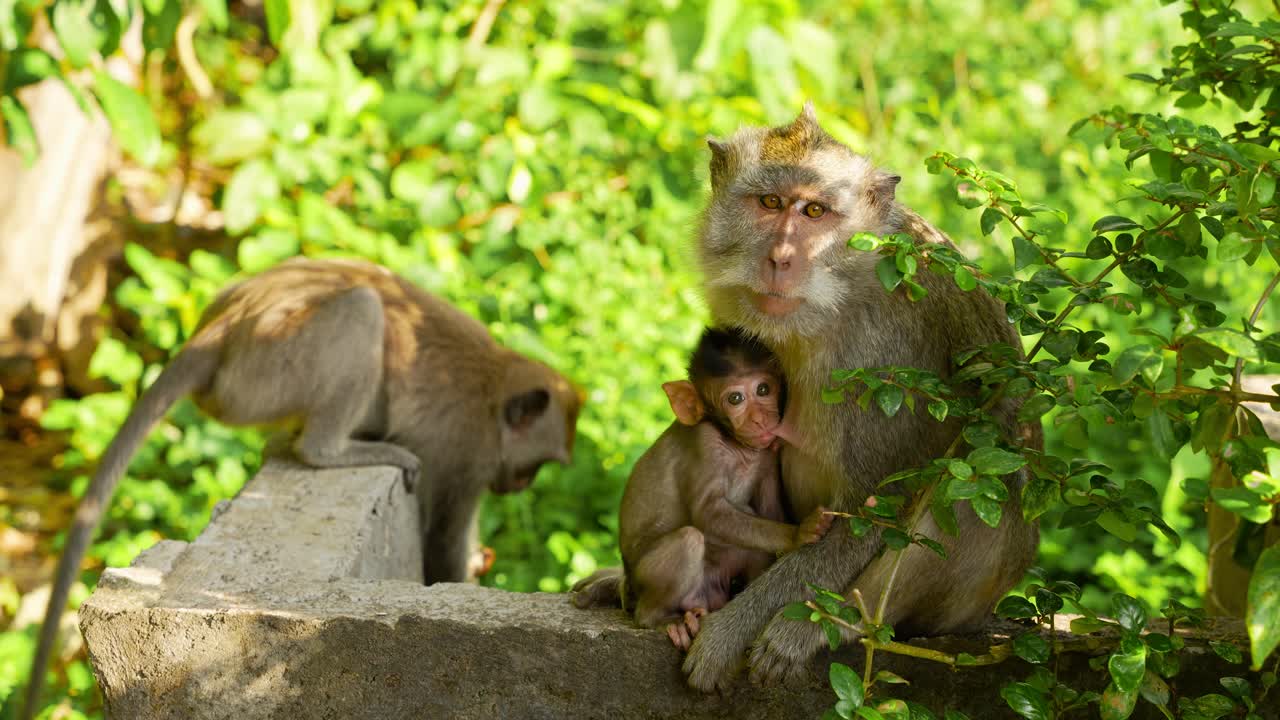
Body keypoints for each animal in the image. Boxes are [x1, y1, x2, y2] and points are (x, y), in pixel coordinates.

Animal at [22, 257, 581, 719]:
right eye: (535, 467)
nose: (516, 486)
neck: (495, 388)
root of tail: (221, 328)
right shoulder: (464, 452)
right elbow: (444, 541)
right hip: (270, 370)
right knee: (360, 311)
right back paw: (329, 448)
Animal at [572, 327, 831, 650]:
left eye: (763, 390)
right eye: (735, 398)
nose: (760, 419)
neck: (734, 445)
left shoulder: (768, 453)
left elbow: (768, 510)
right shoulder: (704, 445)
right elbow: (708, 513)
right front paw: (799, 533)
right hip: (643, 586)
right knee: (689, 539)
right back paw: (659, 619)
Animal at [676, 104, 1042, 691]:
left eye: (815, 211)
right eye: (770, 203)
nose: (780, 258)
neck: (836, 297)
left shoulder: (883, 359)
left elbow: (879, 505)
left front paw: (728, 632)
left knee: (979, 474)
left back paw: (837, 623)